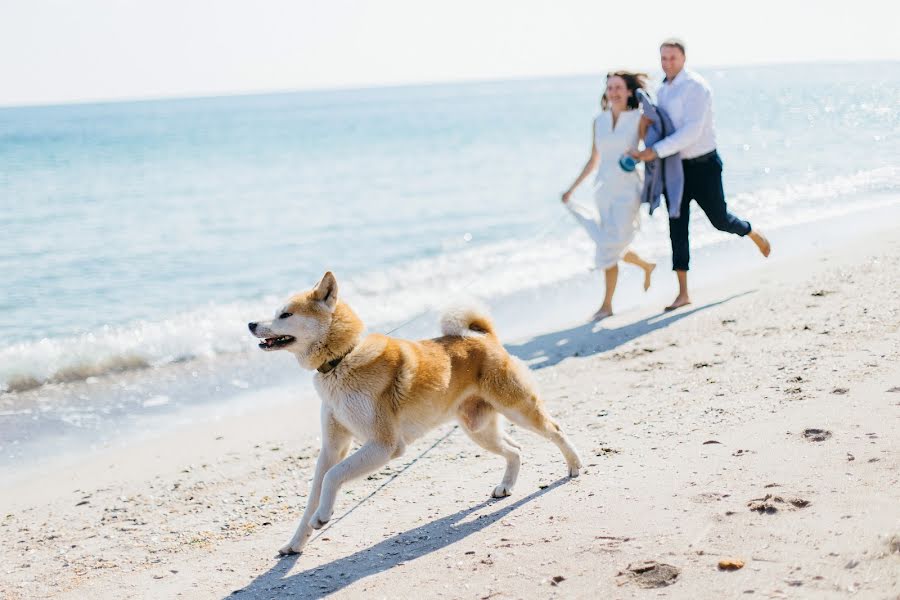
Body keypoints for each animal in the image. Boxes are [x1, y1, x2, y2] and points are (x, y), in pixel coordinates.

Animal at [246, 274, 584, 556]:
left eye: (285, 315)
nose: (250, 324)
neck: (343, 359)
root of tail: (484, 337)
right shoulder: (332, 448)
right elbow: (315, 494)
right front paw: (296, 541)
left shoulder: (384, 445)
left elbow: (333, 477)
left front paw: (324, 516)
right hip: (478, 429)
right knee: (515, 449)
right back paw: (506, 486)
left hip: (518, 409)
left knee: (555, 429)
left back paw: (574, 465)